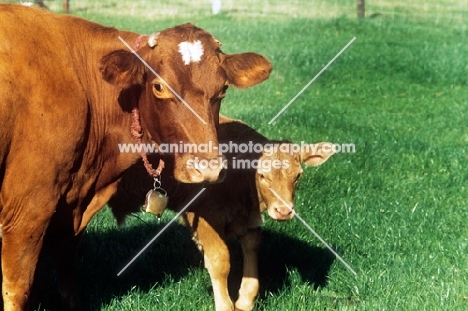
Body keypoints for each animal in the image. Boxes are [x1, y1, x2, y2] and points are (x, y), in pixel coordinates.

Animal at [0, 4, 272, 310]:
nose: (208, 169)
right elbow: (17, 287)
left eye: (223, 89)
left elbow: (67, 263)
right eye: (159, 87)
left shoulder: (71, 205)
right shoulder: (29, 206)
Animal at [109, 117, 332, 311]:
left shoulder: (248, 220)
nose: (284, 211)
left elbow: (252, 247)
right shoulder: (204, 216)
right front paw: (225, 305)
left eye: (298, 175)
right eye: (262, 175)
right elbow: (220, 259)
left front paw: (245, 300)